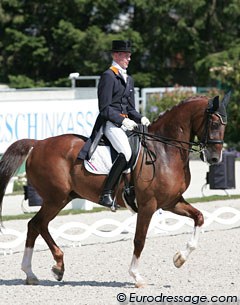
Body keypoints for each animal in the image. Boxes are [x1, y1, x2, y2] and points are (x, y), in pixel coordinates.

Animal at [0, 92, 230, 284]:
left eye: (225, 124)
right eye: (214, 123)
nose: (214, 158)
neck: (165, 151)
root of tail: (38, 144)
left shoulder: (171, 202)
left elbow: (199, 217)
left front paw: (179, 258)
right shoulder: (148, 205)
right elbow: (139, 239)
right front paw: (136, 276)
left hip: (62, 198)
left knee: (36, 225)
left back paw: (40, 271)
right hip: (56, 198)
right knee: (38, 224)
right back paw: (49, 267)